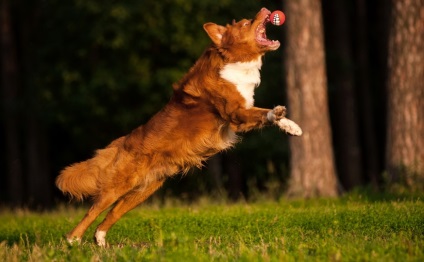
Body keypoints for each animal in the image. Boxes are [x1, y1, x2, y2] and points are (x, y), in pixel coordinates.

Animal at [57, 7, 302, 247]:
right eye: (246, 23)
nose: (264, 9)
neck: (233, 61)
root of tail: (122, 142)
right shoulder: (235, 114)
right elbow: (263, 113)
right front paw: (277, 113)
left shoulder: (243, 112)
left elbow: (266, 115)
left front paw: (292, 126)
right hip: (120, 185)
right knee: (92, 212)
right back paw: (72, 241)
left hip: (142, 191)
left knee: (111, 214)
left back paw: (100, 241)